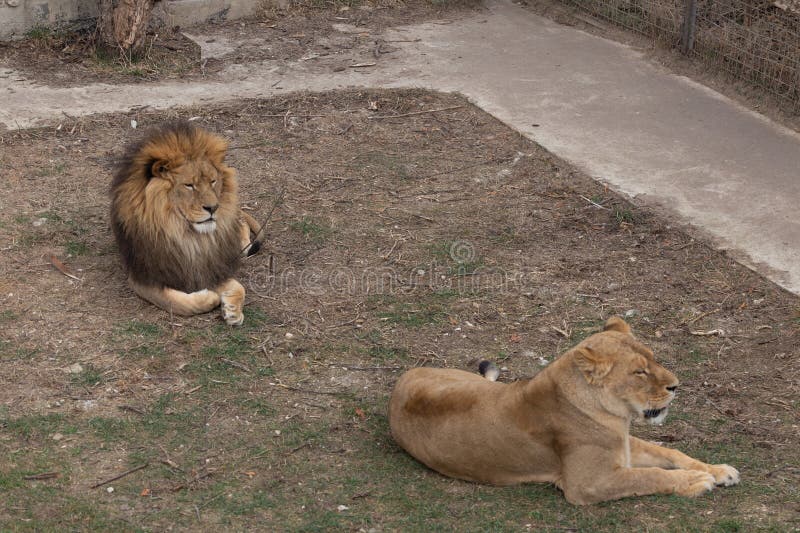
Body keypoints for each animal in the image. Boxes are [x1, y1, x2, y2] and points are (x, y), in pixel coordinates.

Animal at [110, 121, 262, 324]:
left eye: (213, 181)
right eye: (189, 185)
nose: (213, 207)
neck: (184, 233)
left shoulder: (205, 265)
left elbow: (239, 286)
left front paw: (232, 311)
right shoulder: (145, 275)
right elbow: (176, 303)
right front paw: (210, 297)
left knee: (241, 221)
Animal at [388, 316, 736, 502]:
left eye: (654, 358)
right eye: (639, 372)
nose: (676, 386)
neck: (616, 417)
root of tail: (401, 380)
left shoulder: (625, 447)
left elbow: (670, 453)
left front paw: (718, 470)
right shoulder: (588, 484)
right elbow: (648, 476)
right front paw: (695, 480)